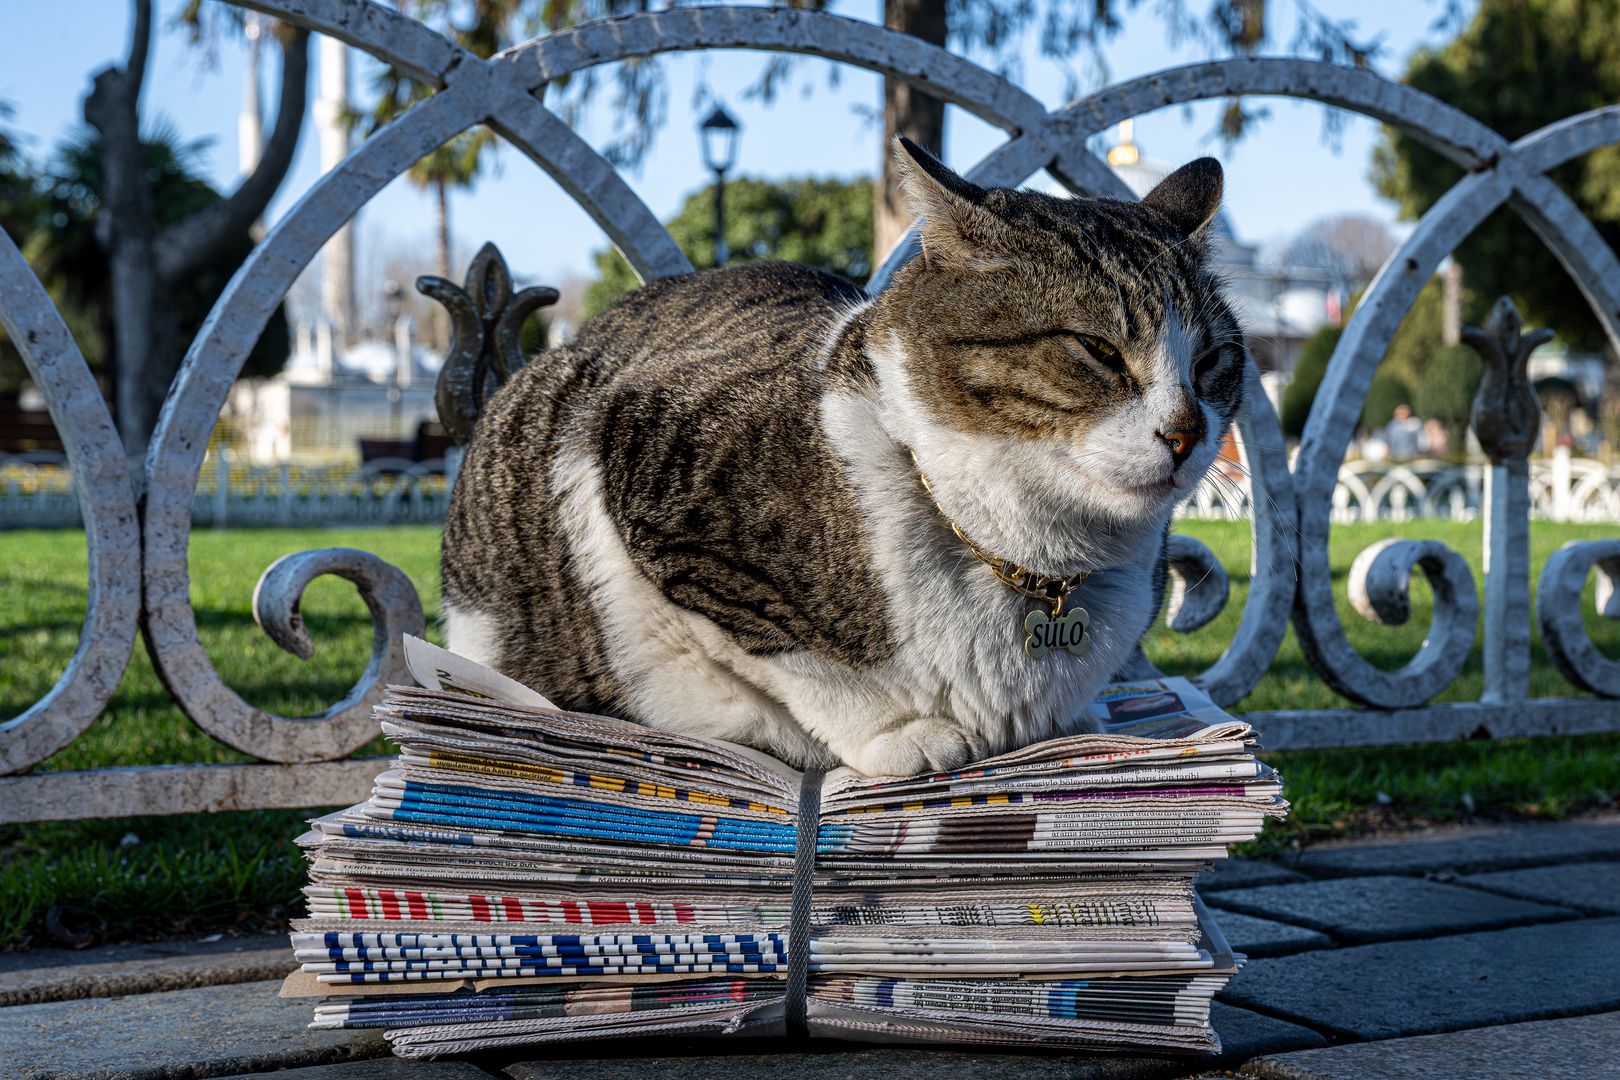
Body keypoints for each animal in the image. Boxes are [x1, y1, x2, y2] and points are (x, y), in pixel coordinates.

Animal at [443, 139, 1250, 777]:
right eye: (1097, 350)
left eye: (1213, 360)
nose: (1186, 431)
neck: (1032, 560)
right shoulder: (635, 454)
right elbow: (791, 657)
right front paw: (902, 734)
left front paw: (1075, 721)